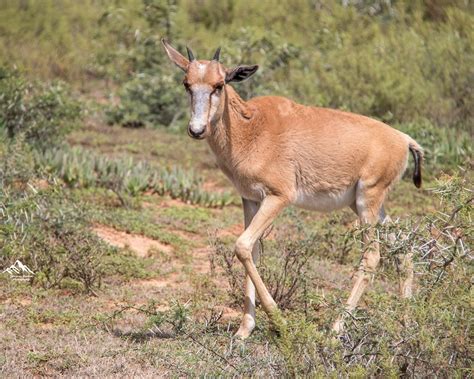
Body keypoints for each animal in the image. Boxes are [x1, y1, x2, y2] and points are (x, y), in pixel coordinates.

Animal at [162, 39, 422, 338]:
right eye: (187, 83)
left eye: (219, 84)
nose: (196, 129)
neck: (251, 126)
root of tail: (403, 139)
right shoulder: (250, 199)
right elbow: (252, 251)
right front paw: (243, 331)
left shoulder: (278, 197)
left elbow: (241, 245)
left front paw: (280, 322)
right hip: (366, 206)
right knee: (404, 246)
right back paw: (406, 323)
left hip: (367, 202)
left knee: (372, 257)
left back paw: (335, 330)